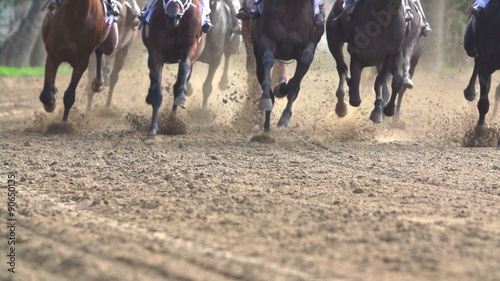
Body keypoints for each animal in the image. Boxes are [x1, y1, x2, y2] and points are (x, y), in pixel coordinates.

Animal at [141, 0, 205, 137]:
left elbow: (184, 67)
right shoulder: (156, 53)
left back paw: (172, 120)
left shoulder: (190, 47)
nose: (172, 16)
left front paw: (181, 98)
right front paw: (152, 128)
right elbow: (157, 90)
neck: (175, 26)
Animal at [252, 0, 326, 133]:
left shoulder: (309, 45)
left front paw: (285, 116)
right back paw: (266, 128)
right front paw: (267, 99)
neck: (292, 6)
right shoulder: (267, 39)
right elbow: (268, 60)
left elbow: (304, 63)